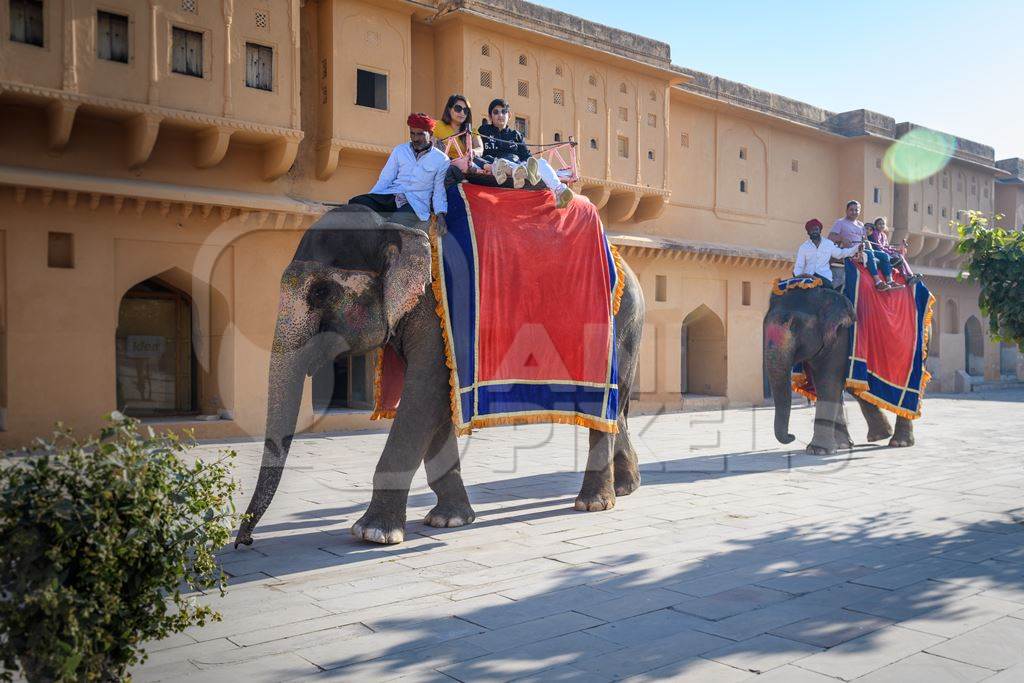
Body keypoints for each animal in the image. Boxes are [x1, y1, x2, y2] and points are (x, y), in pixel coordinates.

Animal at [235, 205, 643, 548]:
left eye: (320, 292)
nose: (245, 541)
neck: (393, 225)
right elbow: (440, 402)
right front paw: (449, 521)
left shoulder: (437, 310)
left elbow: (424, 395)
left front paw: (373, 534)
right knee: (617, 410)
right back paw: (626, 488)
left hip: (619, 325)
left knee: (606, 409)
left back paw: (592, 504)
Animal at [765, 286, 917, 454]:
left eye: (794, 325)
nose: (792, 436)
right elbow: (826, 384)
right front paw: (840, 446)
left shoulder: (842, 336)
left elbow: (828, 381)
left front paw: (818, 450)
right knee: (854, 388)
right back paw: (880, 436)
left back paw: (899, 442)